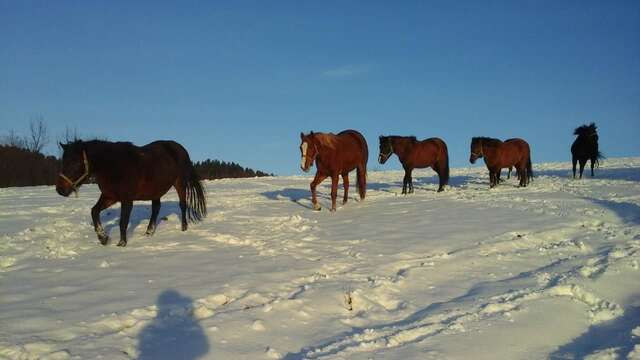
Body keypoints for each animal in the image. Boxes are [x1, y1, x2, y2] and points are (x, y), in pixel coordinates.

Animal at [56, 139, 208, 246]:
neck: (114, 166)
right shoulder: (110, 196)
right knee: (156, 208)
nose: (60, 190)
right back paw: (148, 233)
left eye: (75, 163)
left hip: (180, 184)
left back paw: (183, 228)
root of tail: (180, 148)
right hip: (156, 190)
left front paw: (121, 244)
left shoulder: (127, 199)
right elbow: (94, 211)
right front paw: (103, 238)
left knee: (182, 205)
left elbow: (123, 222)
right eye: (63, 162)